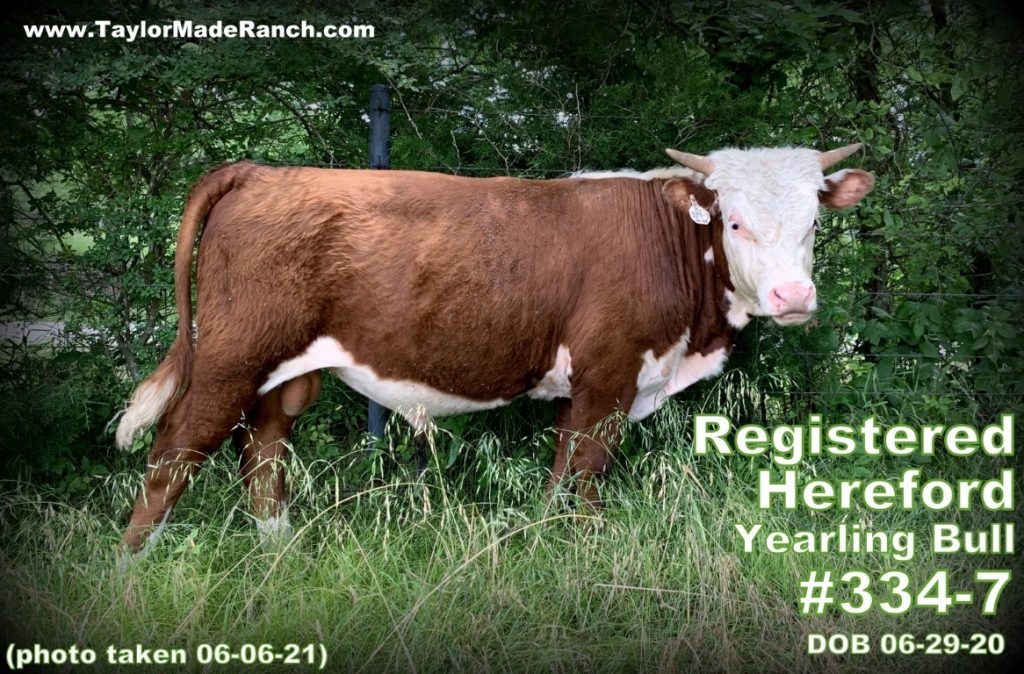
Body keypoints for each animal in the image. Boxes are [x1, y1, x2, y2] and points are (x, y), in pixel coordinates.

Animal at [115, 144, 874, 554]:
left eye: (813, 221)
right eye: (733, 221)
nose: (792, 296)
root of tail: (263, 172)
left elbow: (562, 475)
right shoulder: (609, 376)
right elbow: (584, 477)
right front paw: (579, 554)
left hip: (286, 373)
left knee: (263, 452)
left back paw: (283, 557)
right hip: (230, 357)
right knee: (173, 455)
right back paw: (128, 575)